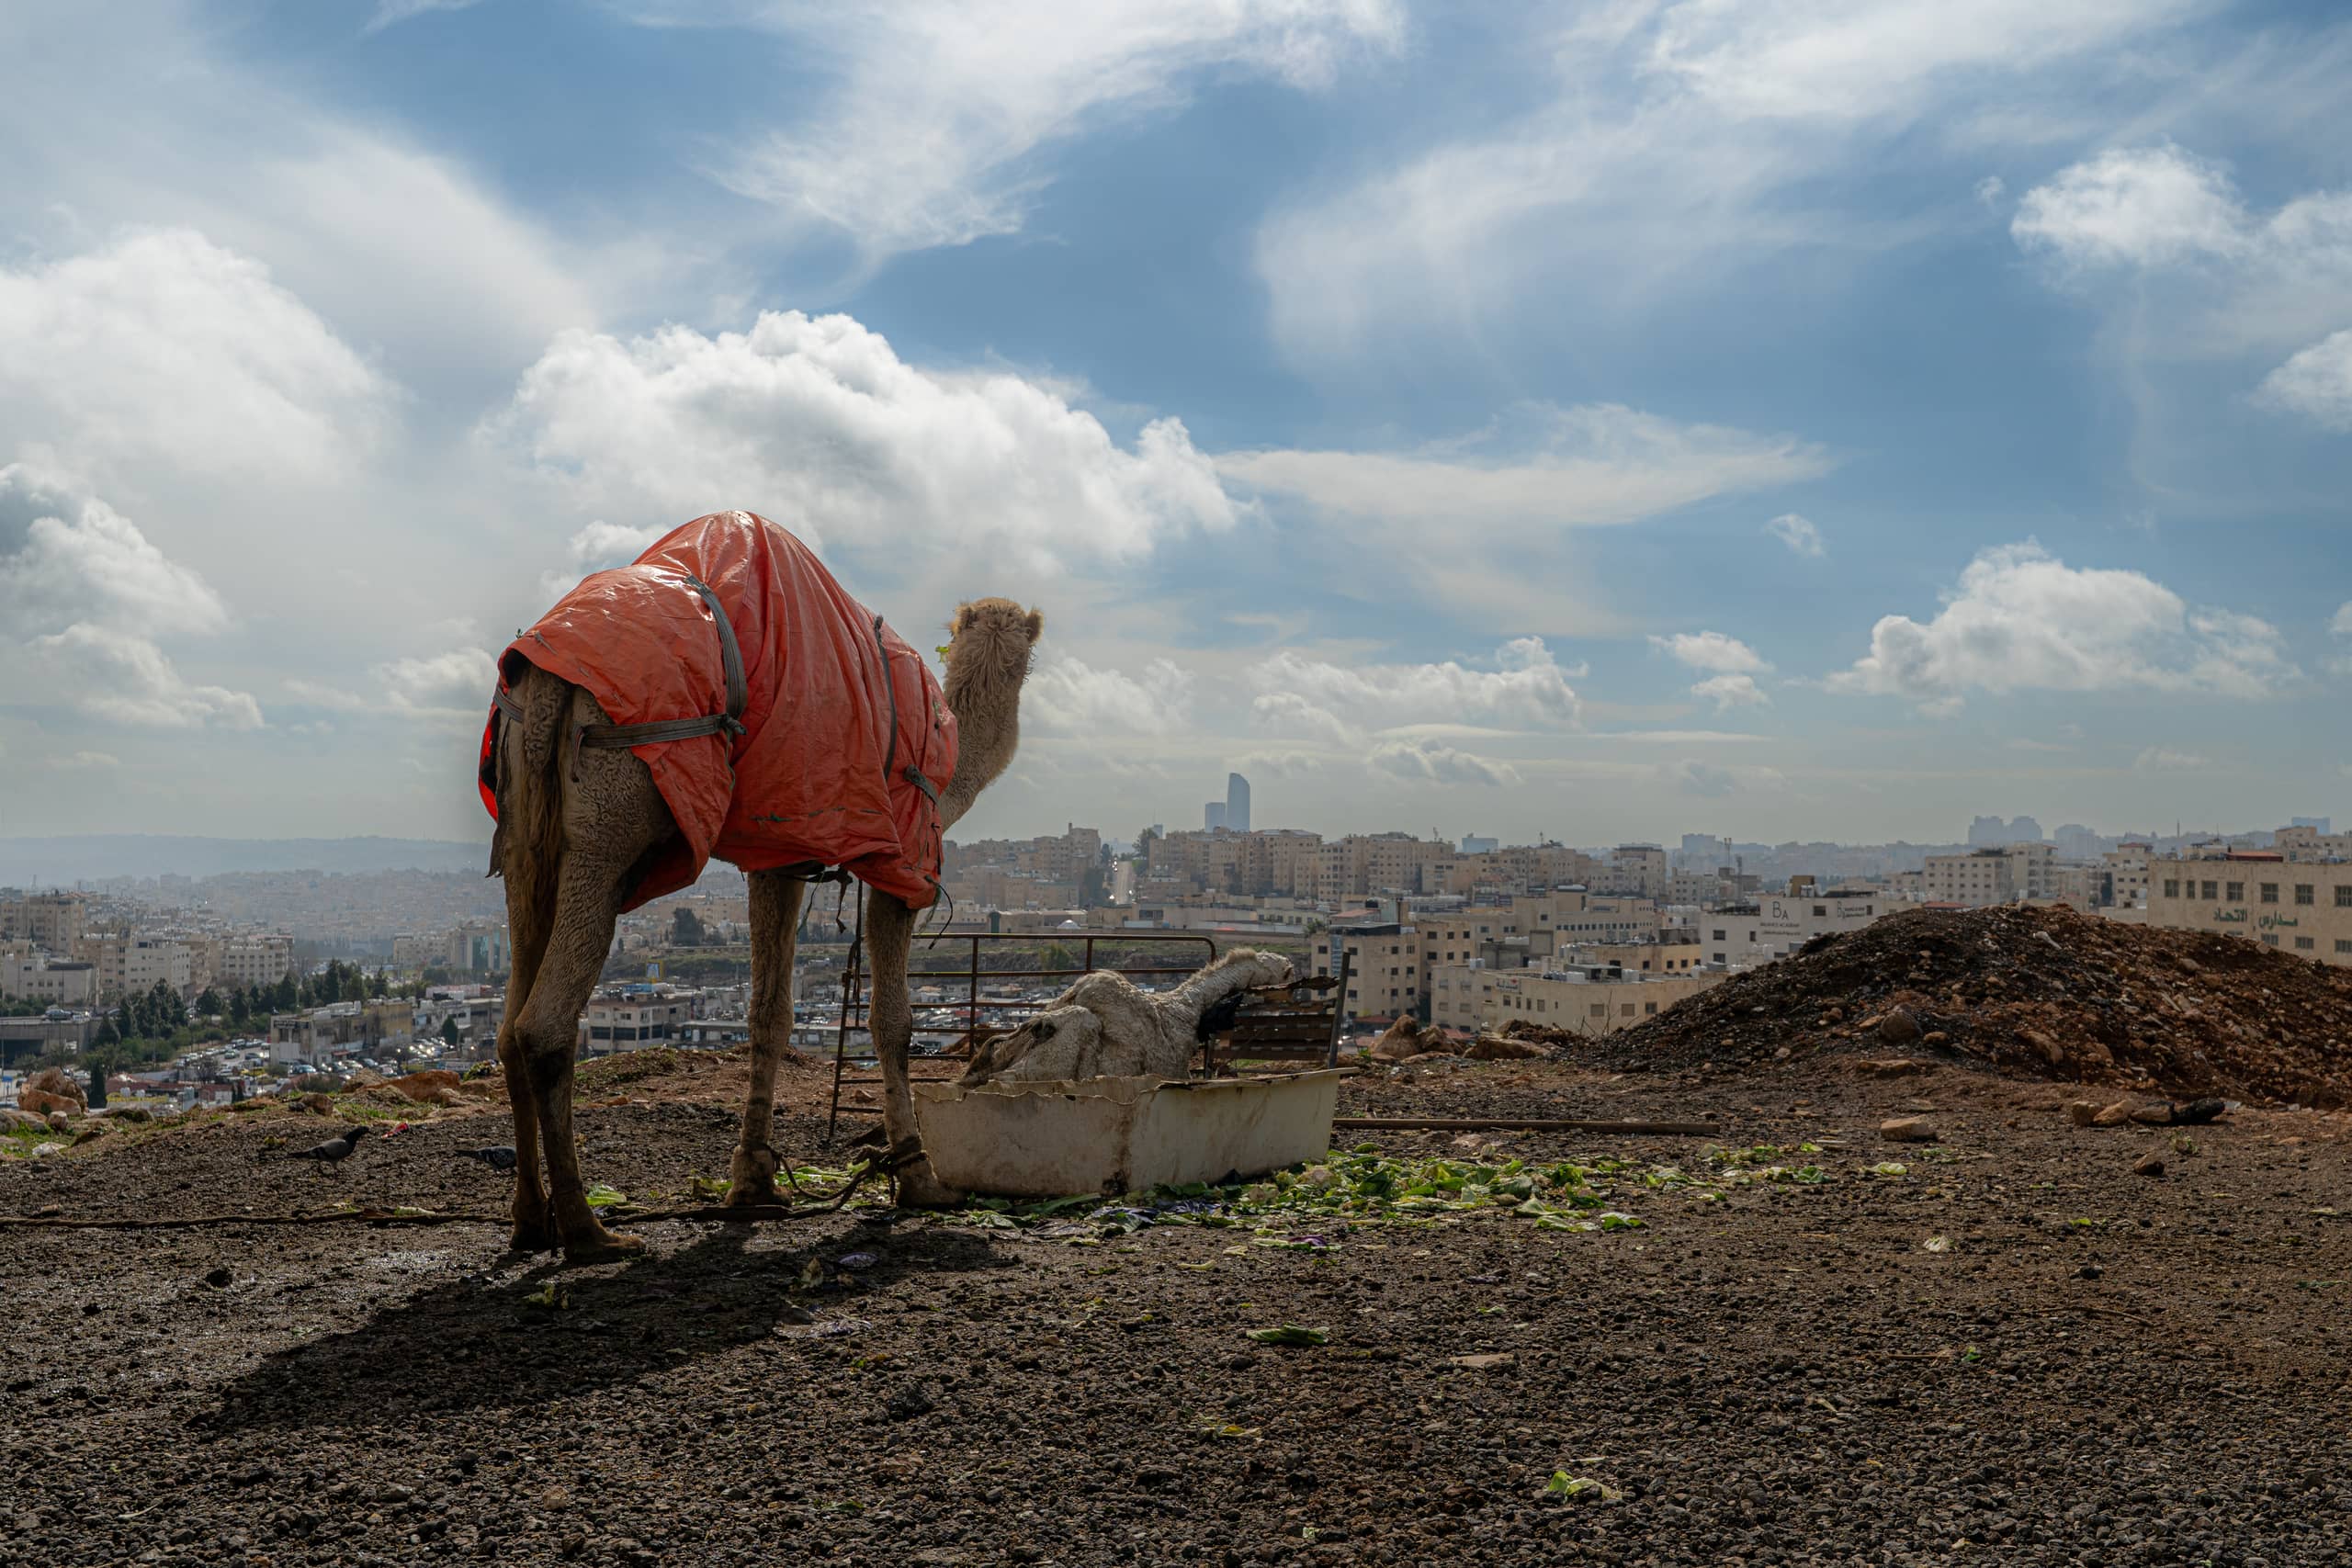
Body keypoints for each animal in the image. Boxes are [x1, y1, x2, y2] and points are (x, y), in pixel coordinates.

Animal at [488, 532, 1040, 1263]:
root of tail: (550, 676)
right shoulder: (906, 860)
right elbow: (892, 1021)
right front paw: (920, 1176)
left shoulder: (777, 855)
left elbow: (769, 1014)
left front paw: (753, 1183)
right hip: (614, 802)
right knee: (544, 1025)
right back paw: (589, 1229)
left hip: (525, 826)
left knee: (507, 1022)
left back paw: (528, 1219)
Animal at [958, 947, 1295, 1087]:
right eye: (1283, 971)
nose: (1292, 968)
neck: (1187, 1009)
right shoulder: (1171, 1070)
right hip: (1040, 1065)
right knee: (1005, 1081)